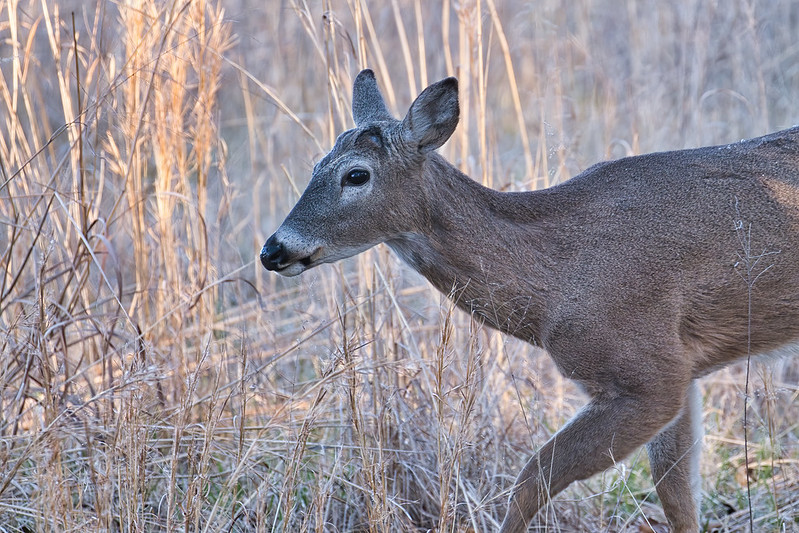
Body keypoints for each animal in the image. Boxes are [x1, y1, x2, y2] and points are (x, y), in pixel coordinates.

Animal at [262, 68, 799, 528]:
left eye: (356, 175)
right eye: (315, 164)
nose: (273, 250)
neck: (555, 280)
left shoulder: (650, 373)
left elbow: (531, 479)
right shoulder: (681, 376)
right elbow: (676, 496)